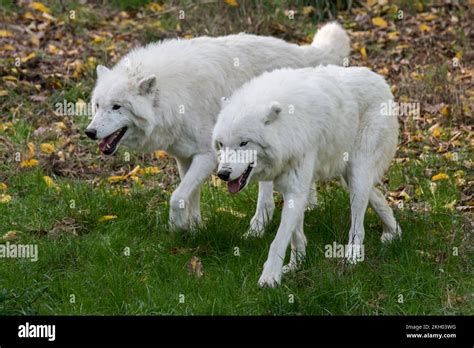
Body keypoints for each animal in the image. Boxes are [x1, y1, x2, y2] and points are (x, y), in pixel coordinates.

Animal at [85, 23, 350, 235]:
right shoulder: (184, 157)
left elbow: (176, 197)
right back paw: (310, 207)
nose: (90, 132)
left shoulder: (208, 156)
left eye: (117, 107)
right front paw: (194, 228)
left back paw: (256, 229)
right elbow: (190, 196)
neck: (172, 96)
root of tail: (300, 52)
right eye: (98, 105)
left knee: (267, 199)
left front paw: (177, 227)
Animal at [213, 66, 402, 288]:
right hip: (348, 176)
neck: (286, 129)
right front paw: (296, 265)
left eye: (244, 143)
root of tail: (381, 81)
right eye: (221, 144)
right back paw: (393, 232)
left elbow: (279, 240)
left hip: (357, 174)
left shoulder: (297, 189)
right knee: (377, 196)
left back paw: (353, 258)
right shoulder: (291, 186)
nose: (223, 174)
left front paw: (269, 278)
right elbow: (296, 236)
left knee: (358, 225)